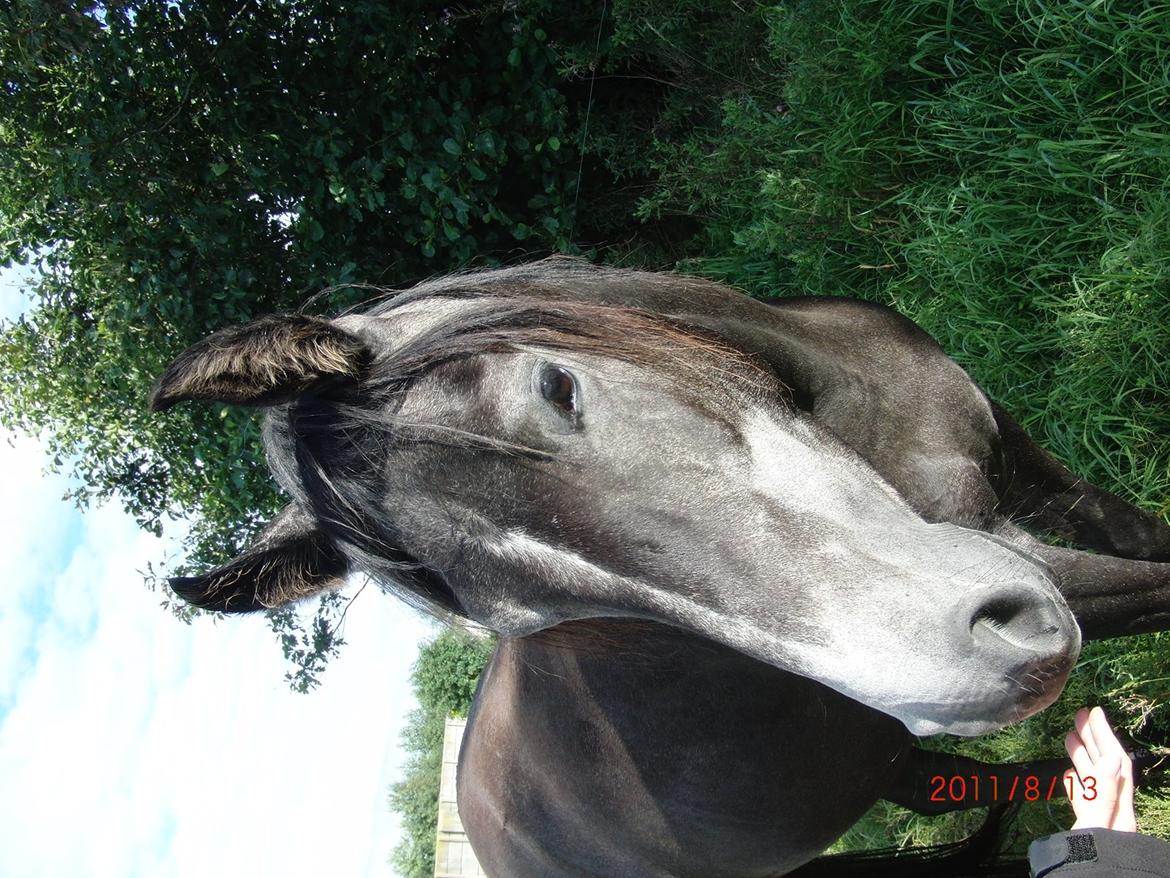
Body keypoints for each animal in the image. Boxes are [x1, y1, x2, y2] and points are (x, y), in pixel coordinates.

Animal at [148, 257, 1170, 875]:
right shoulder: (1034, 563)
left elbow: (1143, 531)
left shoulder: (1023, 462)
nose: (966, 674)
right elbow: (1160, 585)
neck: (853, 399)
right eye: (527, 616)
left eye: (559, 388)